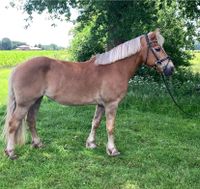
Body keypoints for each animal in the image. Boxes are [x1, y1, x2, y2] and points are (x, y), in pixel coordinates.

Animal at [2, 29, 174, 159]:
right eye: (157, 49)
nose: (170, 68)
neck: (115, 68)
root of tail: (18, 67)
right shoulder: (111, 104)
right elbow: (110, 127)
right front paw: (112, 150)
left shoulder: (101, 104)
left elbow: (95, 123)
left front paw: (91, 144)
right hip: (24, 103)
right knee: (13, 124)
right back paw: (11, 152)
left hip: (36, 100)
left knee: (31, 121)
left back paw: (37, 143)